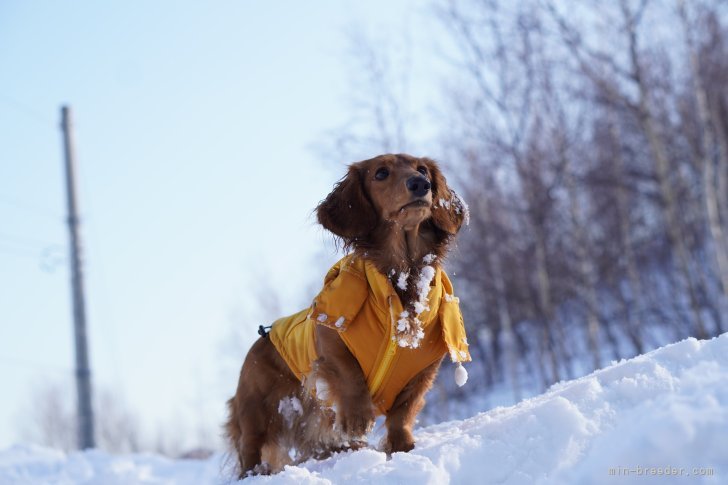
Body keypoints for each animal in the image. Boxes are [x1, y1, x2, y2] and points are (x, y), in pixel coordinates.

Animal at [226, 154, 472, 476]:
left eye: (422, 169)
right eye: (381, 173)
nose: (421, 184)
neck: (402, 277)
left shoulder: (423, 369)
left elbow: (404, 411)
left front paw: (402, 446)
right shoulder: (329, 337)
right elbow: (350, 375)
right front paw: (358, 419)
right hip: (256, 410)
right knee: (251, 448)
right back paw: (254, 474)